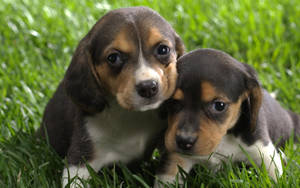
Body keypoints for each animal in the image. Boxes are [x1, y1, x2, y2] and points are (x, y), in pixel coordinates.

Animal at [155, 48, 300, 187]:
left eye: (219, 105)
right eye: (173, 101)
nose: (184, 141)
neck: (223, 138)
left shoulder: (264, 152)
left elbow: (275, 178)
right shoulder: (174, 159)